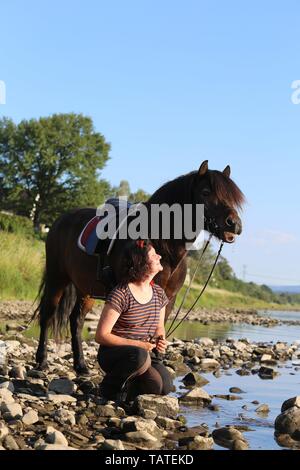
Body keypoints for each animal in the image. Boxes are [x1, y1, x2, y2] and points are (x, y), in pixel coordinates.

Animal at [34, 162, 244, 374]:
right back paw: (42, 361)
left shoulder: (168, 298)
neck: (163, 246)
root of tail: (60, 221)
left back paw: (81, 365)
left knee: (76, 320)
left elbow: (160, 329)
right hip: (57, 279)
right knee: (47, 316)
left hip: (85, 288)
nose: (234, 224)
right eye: (205, 192)